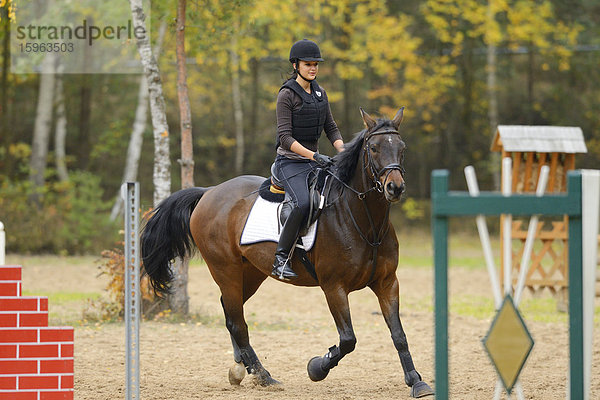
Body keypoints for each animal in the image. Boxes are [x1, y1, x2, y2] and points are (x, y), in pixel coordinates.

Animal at [139, 108, 436, 398]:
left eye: (402, 148)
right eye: (373, 148)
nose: (395, 188)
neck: (364, 221)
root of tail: (209, 192)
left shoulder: (387, 283)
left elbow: (398, 334)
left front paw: (416, 381)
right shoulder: (334, 287)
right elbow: (348, 340)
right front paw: (317, 367)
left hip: (251, 273)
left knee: (231, 312)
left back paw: (242, 366)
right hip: (226, 270)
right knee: (237, 322)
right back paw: (262, 375)